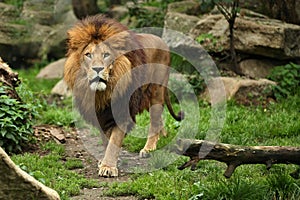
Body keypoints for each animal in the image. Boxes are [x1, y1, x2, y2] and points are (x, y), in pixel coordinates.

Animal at [63, 14, 183, 177]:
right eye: (88, 55)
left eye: (106, 55)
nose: (97, 69)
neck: (104, 92)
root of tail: (162, 41)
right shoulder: (101, 113)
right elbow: (106, 140)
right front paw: (103, 161)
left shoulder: (122, 111)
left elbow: (114, 140)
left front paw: (108, 167)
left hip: (156, 92)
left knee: (154, 120)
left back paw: (148, 148)